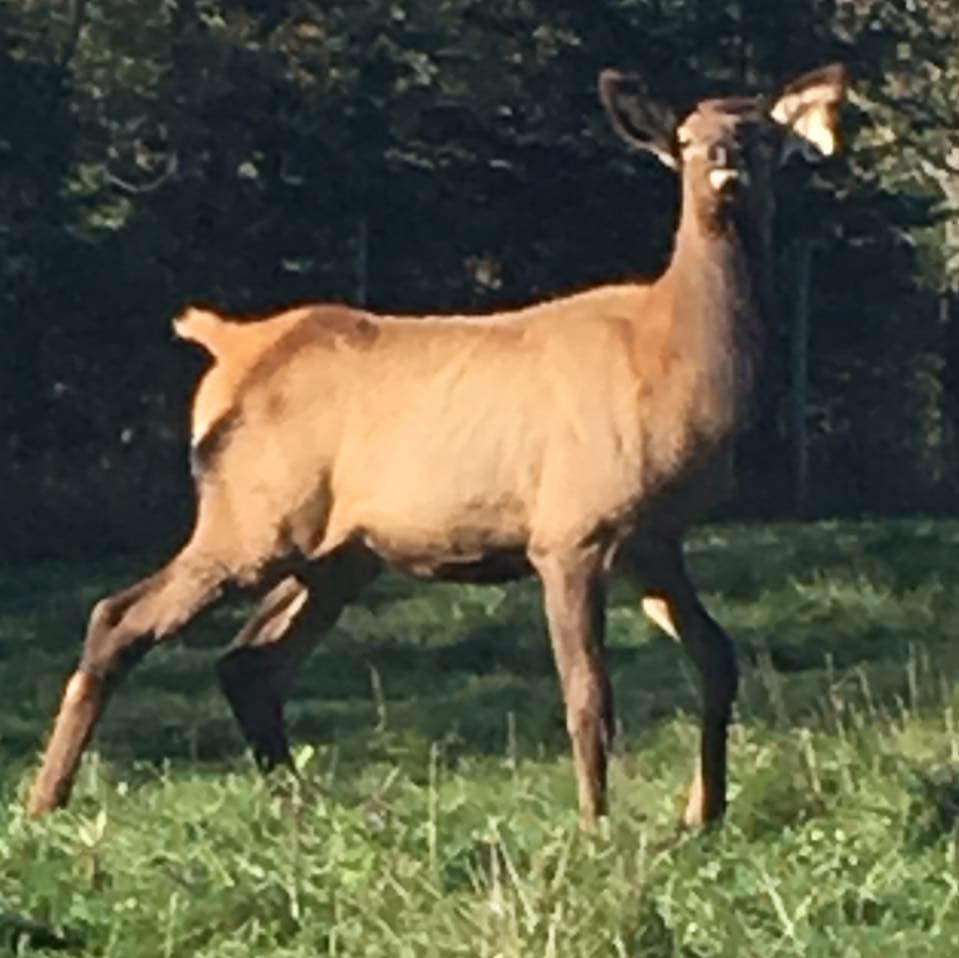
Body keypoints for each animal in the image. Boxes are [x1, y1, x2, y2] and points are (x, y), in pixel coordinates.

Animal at [27, 64, 847, 829]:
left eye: (760, 135)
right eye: (683, 138)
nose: (723, 158)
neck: (676, 372)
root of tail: (229, 346)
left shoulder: (653, 536)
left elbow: (717, 659)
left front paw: (703, 814)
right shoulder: (570, 526)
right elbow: (589, 695)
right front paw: (597, 828)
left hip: (340, 550)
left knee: (250, 662)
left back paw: (302, 807)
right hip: (254, 511)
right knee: (120, 617)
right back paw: (45, 804)